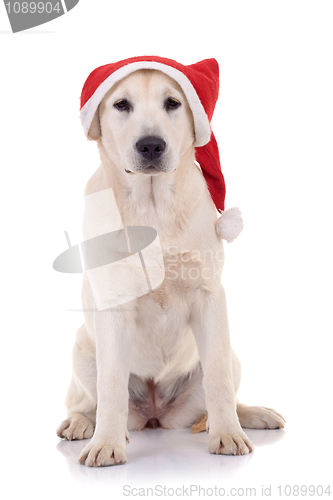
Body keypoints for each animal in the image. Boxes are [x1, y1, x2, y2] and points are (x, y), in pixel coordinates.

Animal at [55, 65, 284, 464]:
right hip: (82, 352)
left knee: (224, 388)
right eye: (121, 104)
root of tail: (155, 415)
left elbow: (218, 380)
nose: (151, 145)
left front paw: (227, 434)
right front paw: (106, 443)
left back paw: (252, 415)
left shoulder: (209, 297)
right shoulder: (113, 308)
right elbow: (111, 385)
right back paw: (82, 424)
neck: (152, 205)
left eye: (173, 103)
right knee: (87, 401)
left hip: (231, 357)